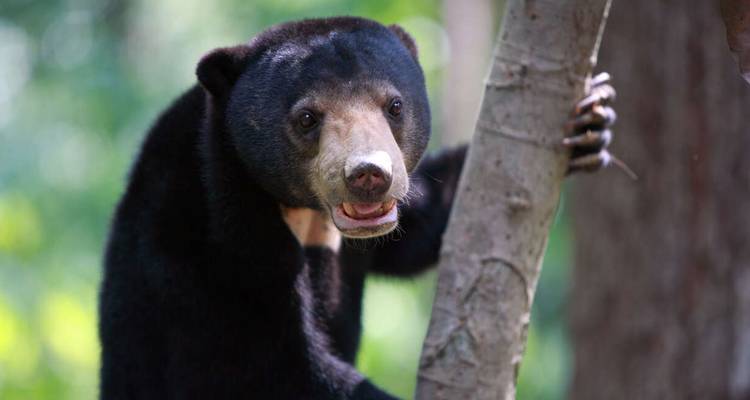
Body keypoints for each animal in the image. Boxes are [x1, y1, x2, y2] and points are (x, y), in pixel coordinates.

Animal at [99, 16, 617, 399]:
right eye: (307, 118)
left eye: (394, 106)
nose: (370, 174)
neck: (305, 214)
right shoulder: (199, 237)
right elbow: (262, 366)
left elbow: (419, 229)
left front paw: (592, 118)